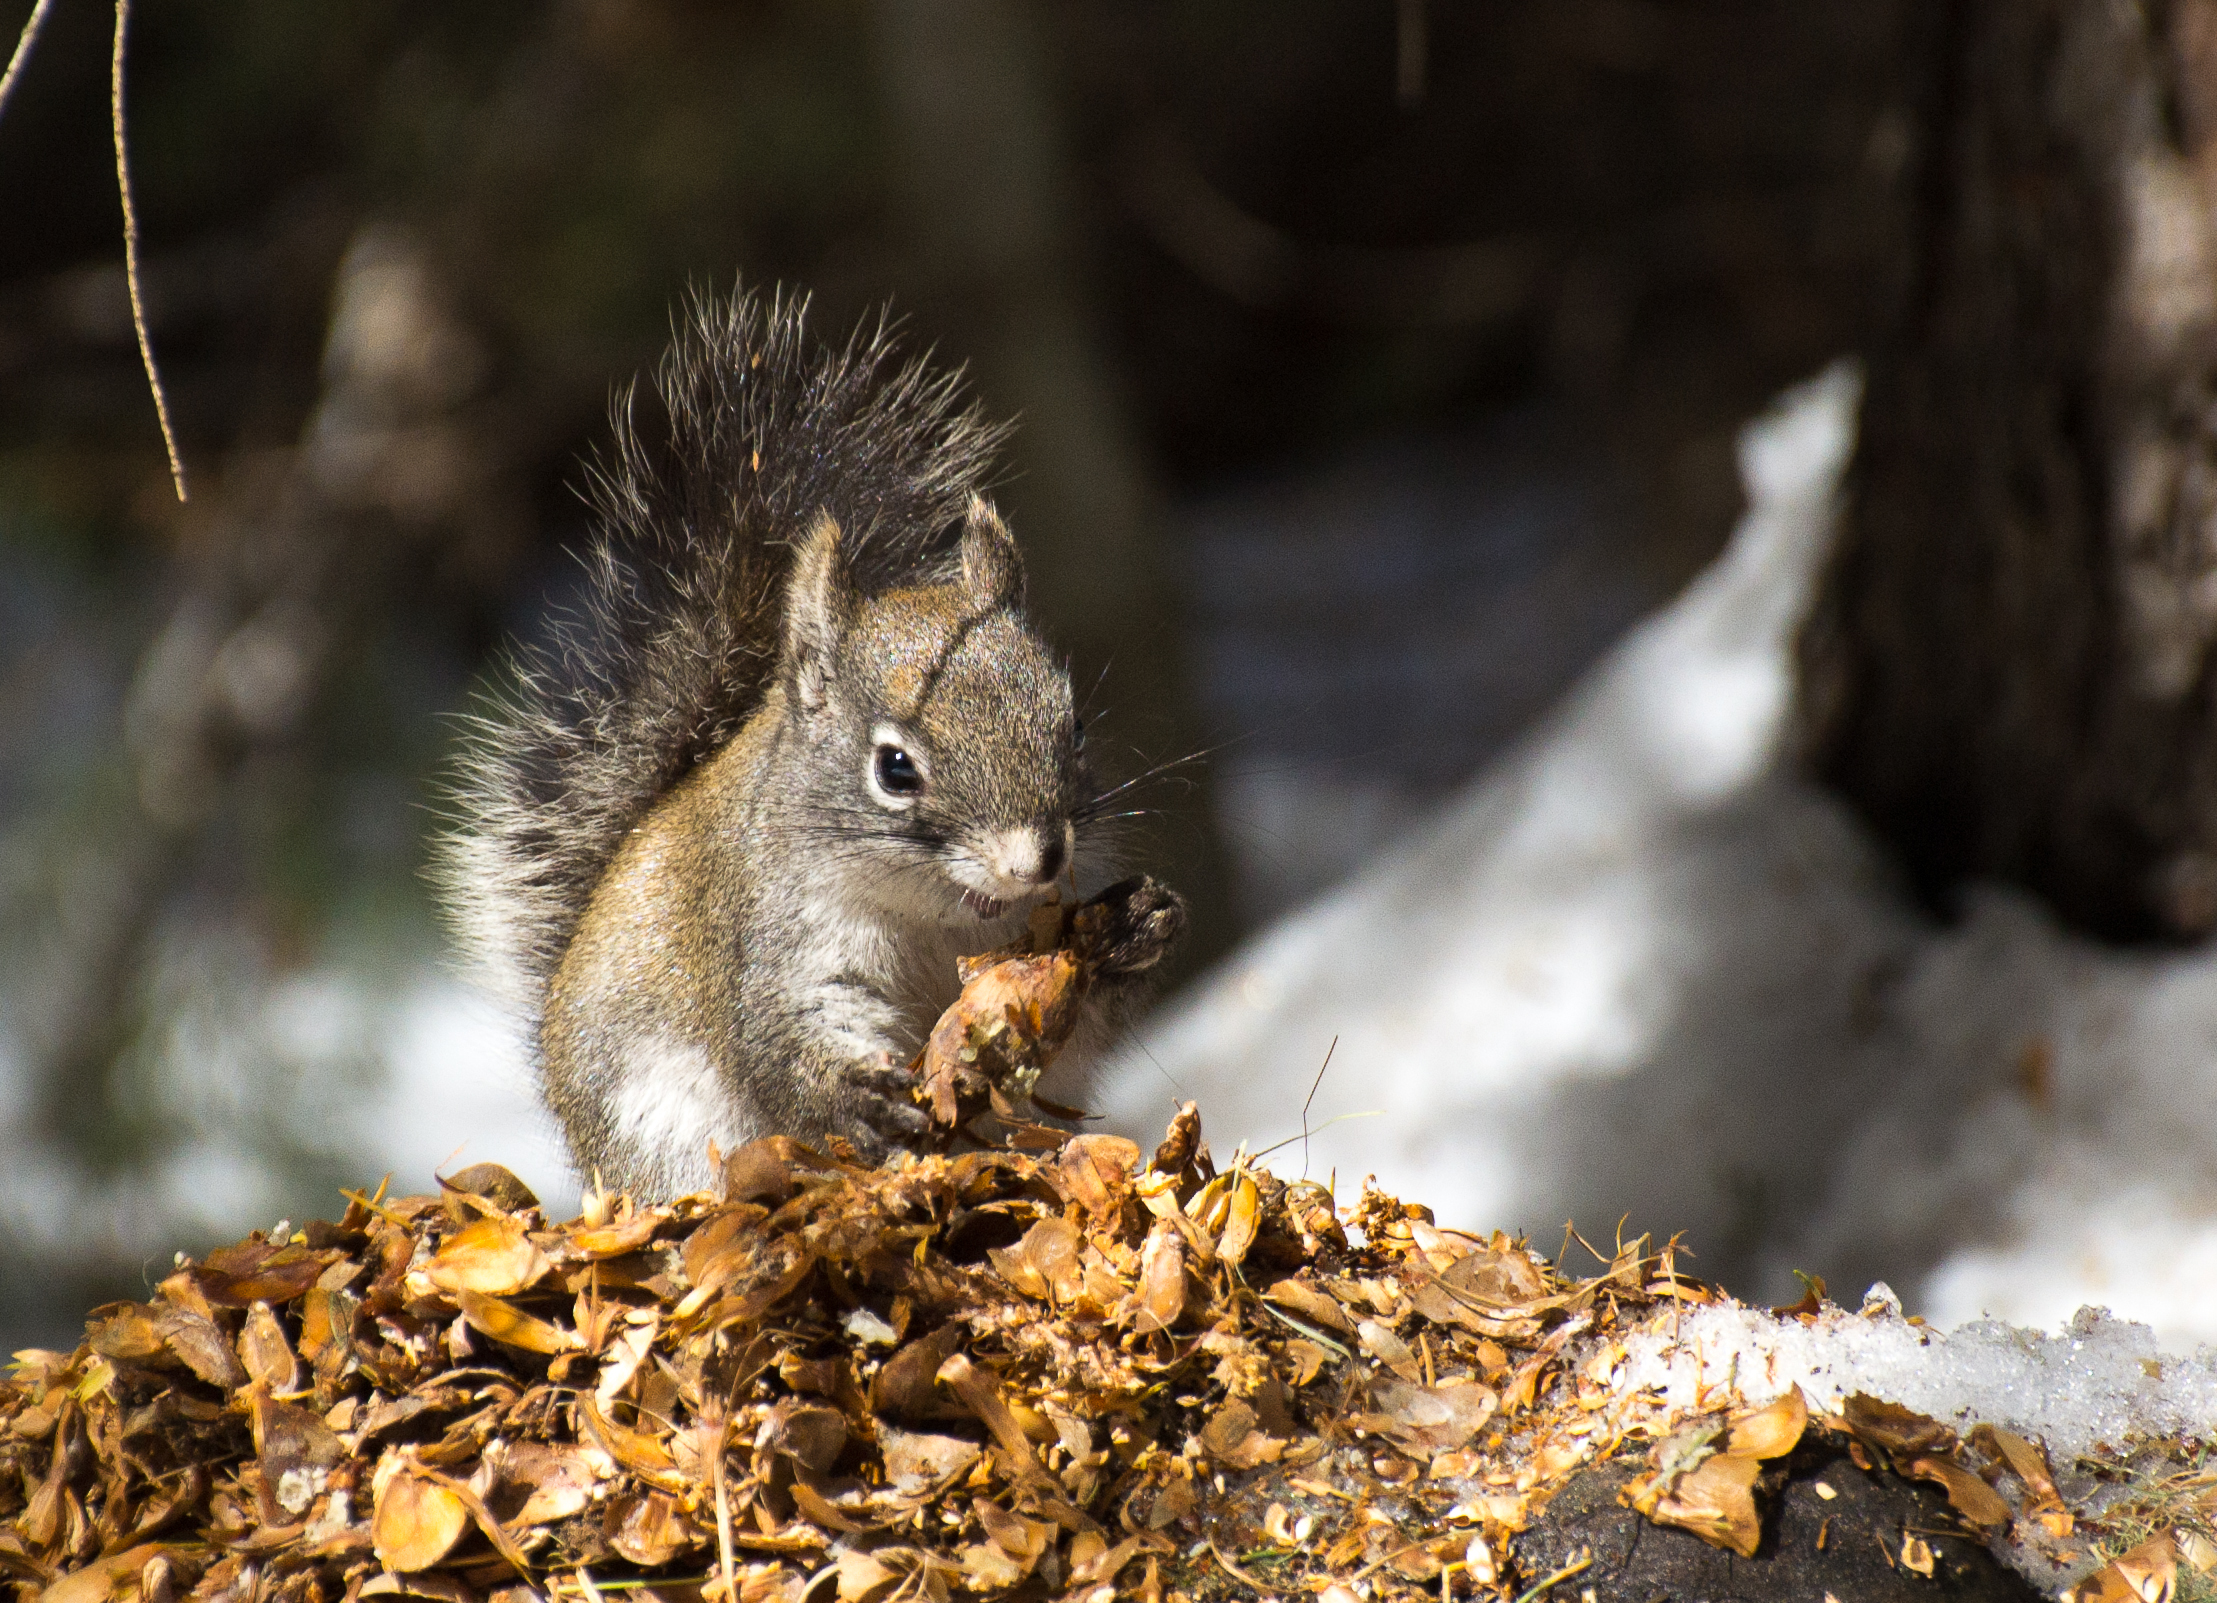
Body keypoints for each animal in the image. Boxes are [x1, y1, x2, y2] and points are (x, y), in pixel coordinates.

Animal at [438, 288, 1188, 1197]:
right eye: (894, 768)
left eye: (1072, 724)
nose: (1035, 861)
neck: (935, 916)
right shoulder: (776, 940)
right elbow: (786, 1039)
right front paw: (857, 1098)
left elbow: (1079, 1031)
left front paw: (1137, 923)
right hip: (663, 1134)